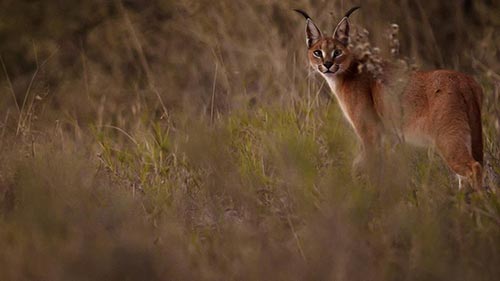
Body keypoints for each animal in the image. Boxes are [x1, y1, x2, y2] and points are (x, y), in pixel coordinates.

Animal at [294, 7, 482, 190]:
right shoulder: (383, 135)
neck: (346, 74)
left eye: (337, 52)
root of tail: (463, 79)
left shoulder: (369, 131)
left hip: (447, 137)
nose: (327, 64)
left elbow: (370, 165)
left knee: (474, 168)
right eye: (317, 52)